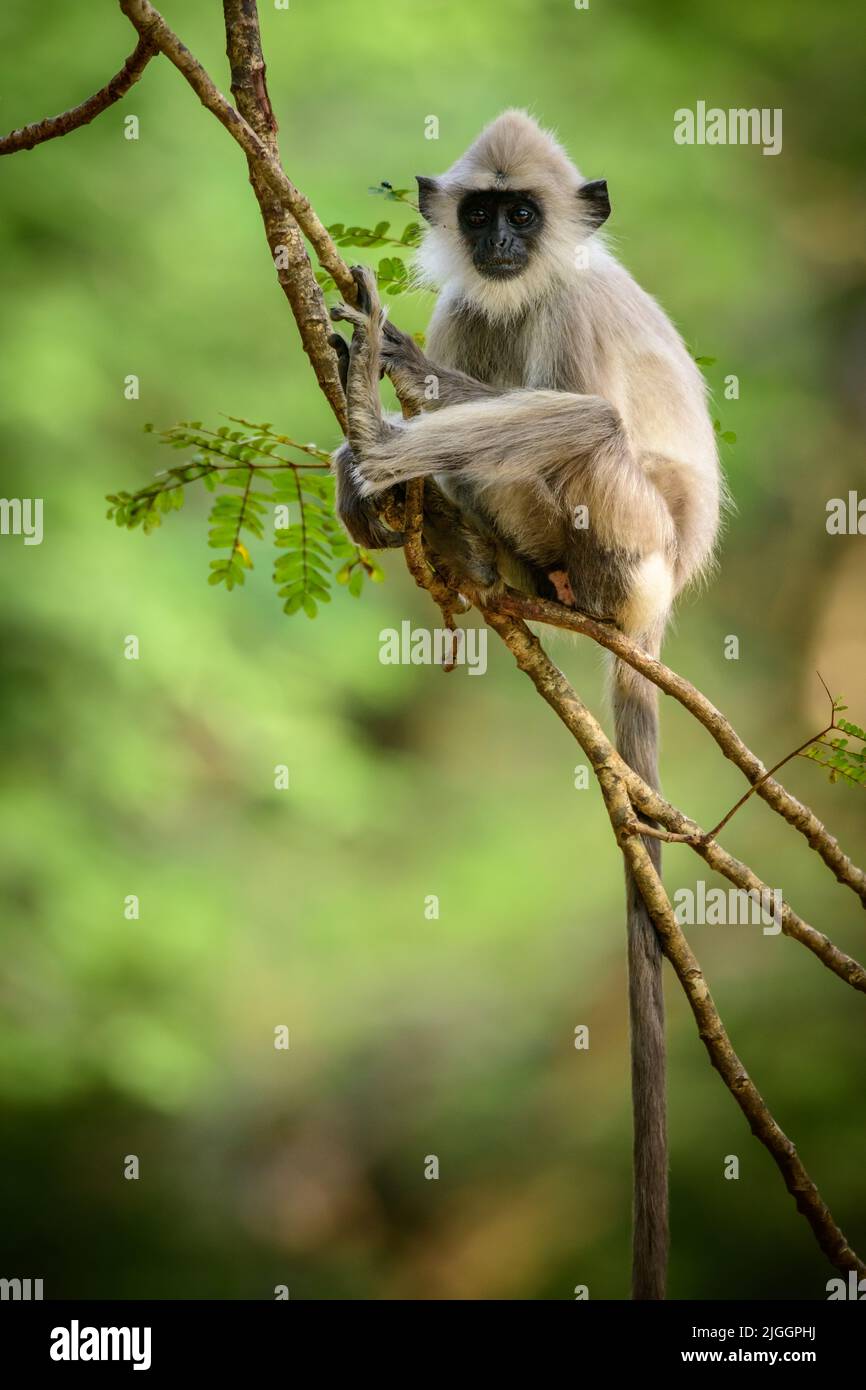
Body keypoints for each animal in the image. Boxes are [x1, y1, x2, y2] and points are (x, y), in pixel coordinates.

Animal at [332, 111, 722, 1301]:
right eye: (479, 211)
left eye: (523, 212)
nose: (499, 241)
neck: (527, 286)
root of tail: (654, 611)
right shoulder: (473, 303)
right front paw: (370, 443)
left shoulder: (574, 311)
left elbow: (585, 406)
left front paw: (387, 399)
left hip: (628, 537)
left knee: (583, 433)